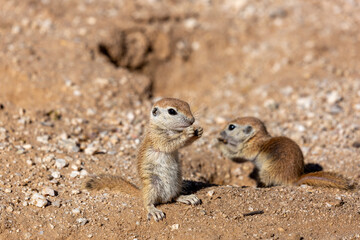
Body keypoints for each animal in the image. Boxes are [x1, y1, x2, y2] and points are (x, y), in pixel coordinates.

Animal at [218, 116, 350, 189]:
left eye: (231, 127)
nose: (220, 133)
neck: (255, 137)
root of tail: (294, 180)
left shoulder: (249, 148)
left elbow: (237, 155)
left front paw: (221, 144)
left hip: (268, 171)